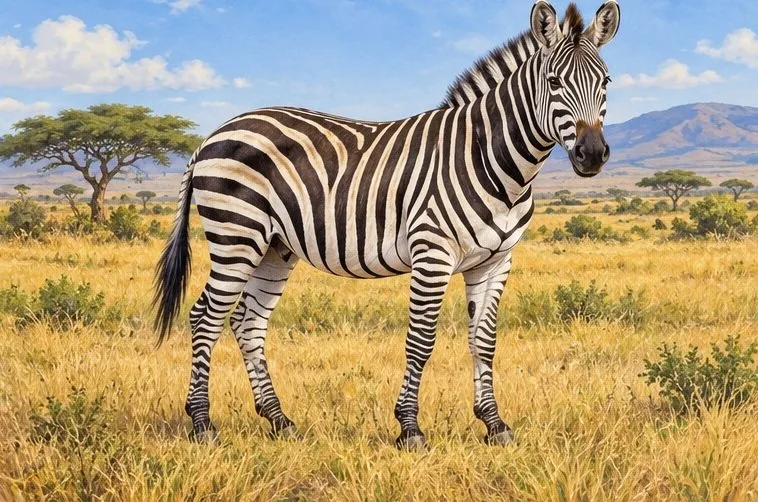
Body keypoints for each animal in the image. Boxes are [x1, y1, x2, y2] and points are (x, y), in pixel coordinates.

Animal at [153, 0, 621, 449]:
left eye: (606, 82)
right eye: (555, 82)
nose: (592, 154)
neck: (494, 161)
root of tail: (211, 135)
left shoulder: (496, 260)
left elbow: (484, 341)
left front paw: (494, 423)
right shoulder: (432, 253)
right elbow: (421, 341)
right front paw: (410, 428)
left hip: (274, 247)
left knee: (247, 322)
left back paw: (280, 420)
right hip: (237, 235)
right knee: (204, 318)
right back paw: (202, 424)